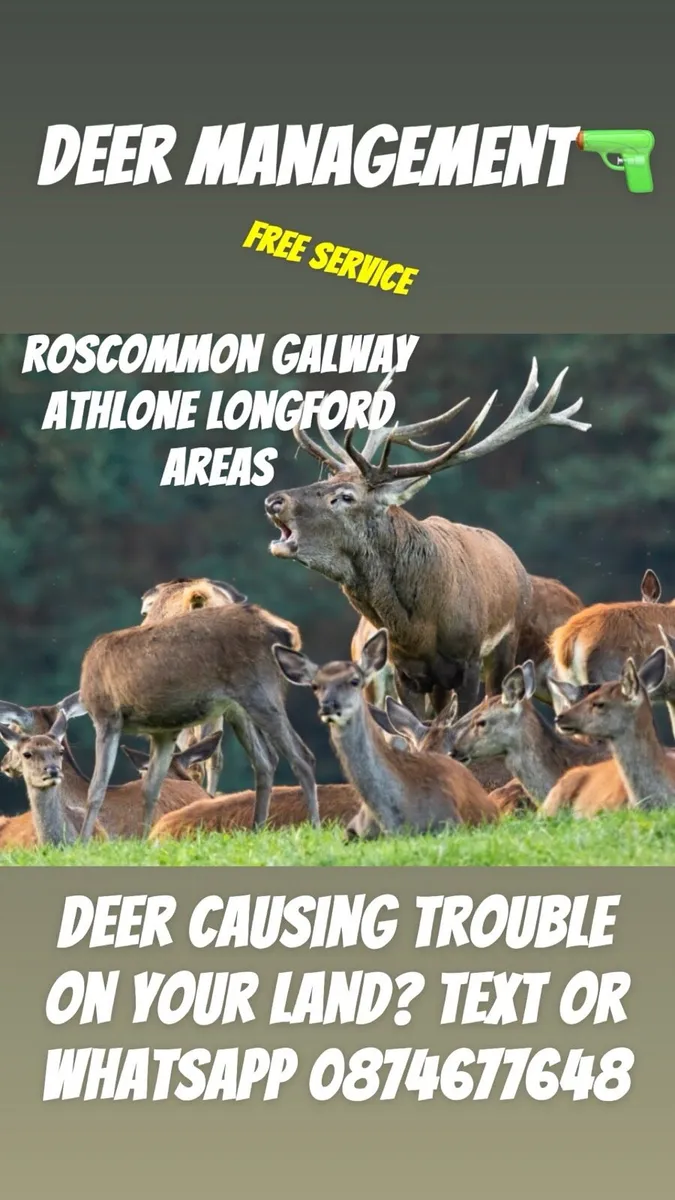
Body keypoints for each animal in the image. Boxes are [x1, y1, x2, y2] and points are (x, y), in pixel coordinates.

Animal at [78, 600, 318, 841]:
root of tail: (286, 631)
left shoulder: (106, 717)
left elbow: (97, 788)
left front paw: (84, 840)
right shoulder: (164, 731)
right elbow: (151, 787)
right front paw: (145, 838)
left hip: (259, 689)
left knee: (302, 755)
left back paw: (315, 826)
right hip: (239, 707)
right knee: (266, 760)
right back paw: (257, 828)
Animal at [265, 359, 590, 720]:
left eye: (346, 496)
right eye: (324, 481)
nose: (275, 501)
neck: (419, 627)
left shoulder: (468, 662)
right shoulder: (406, 671)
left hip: (506, 647)